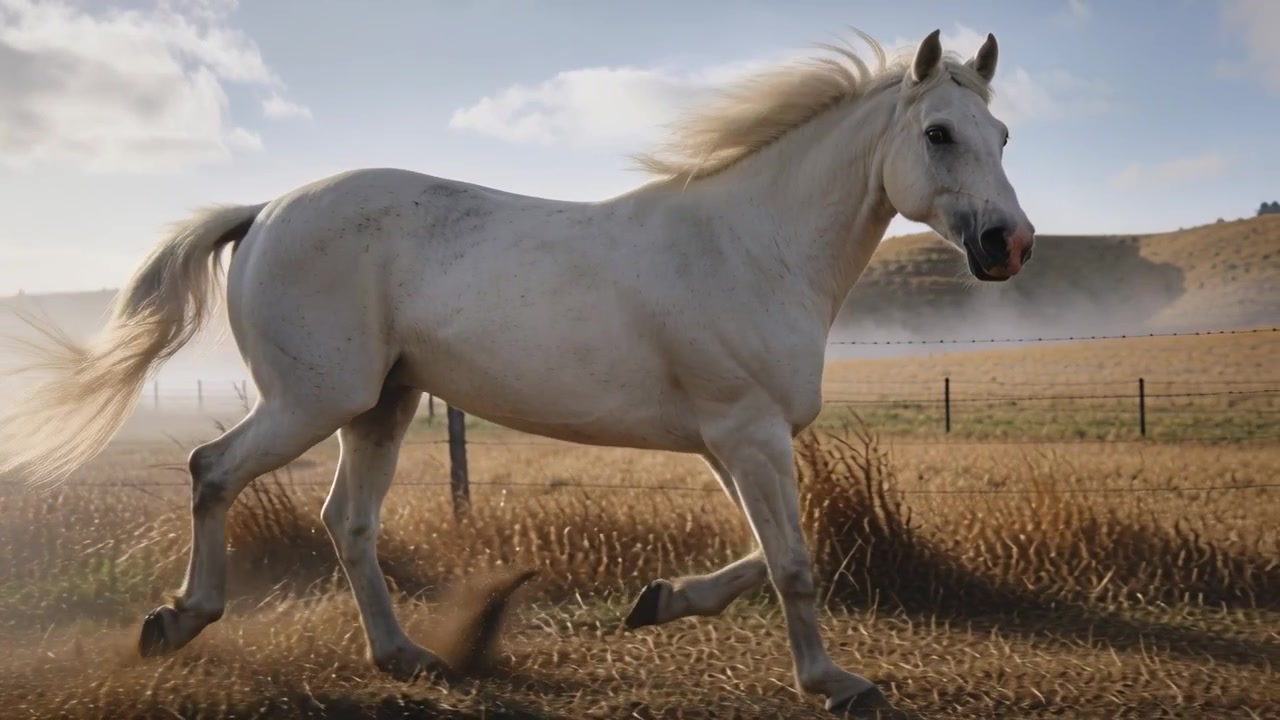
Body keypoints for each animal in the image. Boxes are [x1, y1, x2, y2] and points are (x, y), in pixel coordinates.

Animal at [0, 28, 1033, 714]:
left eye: (1004, 138)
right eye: (939, 134)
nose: (1010, 245)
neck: (752, 246)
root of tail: (265, 211)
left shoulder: (732, 442)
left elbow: (761, 553)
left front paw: (658, 604)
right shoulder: (748, 433)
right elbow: (791, 561)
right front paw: (833, 681)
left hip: (381, 405)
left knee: (348, 522)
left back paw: (405, 656)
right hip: (313, 400)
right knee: (213, 470)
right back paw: (177, 621)